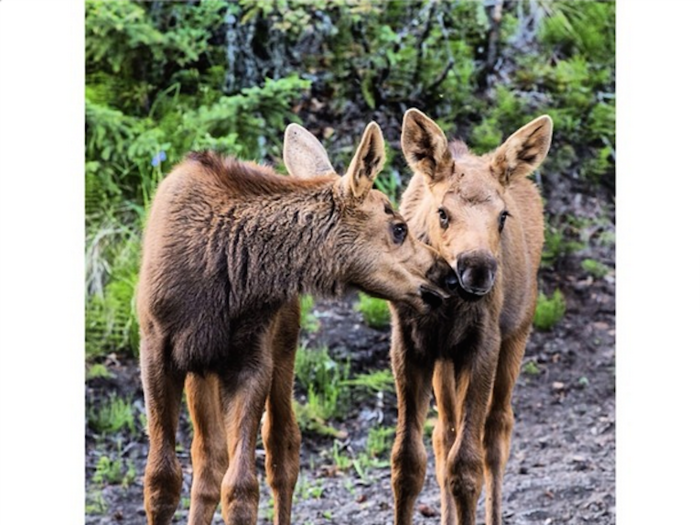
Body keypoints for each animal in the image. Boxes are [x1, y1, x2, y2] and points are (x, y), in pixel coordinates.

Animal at [138, 119, 454, 524]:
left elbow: (241, 488)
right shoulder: (157, 352)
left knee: (281, 448)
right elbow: (161, 481)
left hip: (282, 346)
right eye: (398, 228)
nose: (447, 275)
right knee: (208, 460)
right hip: (202, 369)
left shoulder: (252, 360)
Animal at [388, 108, 552, 520]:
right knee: (442, 433)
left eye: (502, 216)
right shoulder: (410, 345)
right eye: (443, 213)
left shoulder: (482, 343)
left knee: (497, 431)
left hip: (517, 332)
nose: (477, 269)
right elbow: (407, 462)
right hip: (444, 361)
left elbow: (466, 465)